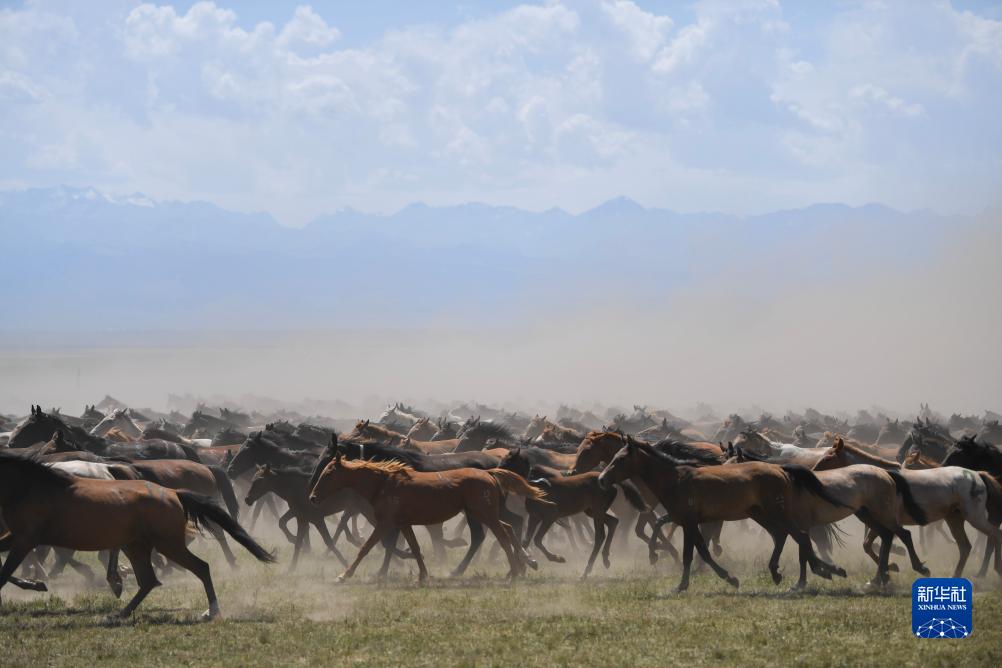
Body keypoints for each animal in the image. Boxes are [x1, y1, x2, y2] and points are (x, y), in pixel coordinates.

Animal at [0, 452, 274, 620]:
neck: (29, 487)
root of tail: (174, 493)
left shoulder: (26, 539)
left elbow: (4, 573)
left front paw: (37, 581)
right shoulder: (17, 537)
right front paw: (35, 582)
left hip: (167, 544)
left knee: (200, 567)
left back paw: (211, 610)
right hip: (137, 546)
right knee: (149, 580)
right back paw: (120, 609)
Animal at [597, 440, 841, 592]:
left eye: (620, 459)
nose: (601, 479)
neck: (676, 479)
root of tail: (781, 470)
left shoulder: (688, 523)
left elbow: (689, 554)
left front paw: (679, 583)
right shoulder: (690, 522)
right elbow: (702, 552)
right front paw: (730, 578)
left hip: (776, 512)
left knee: (799, 536)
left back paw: (821, 572)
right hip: (761, 515)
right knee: (784, 536)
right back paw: (785, 572)